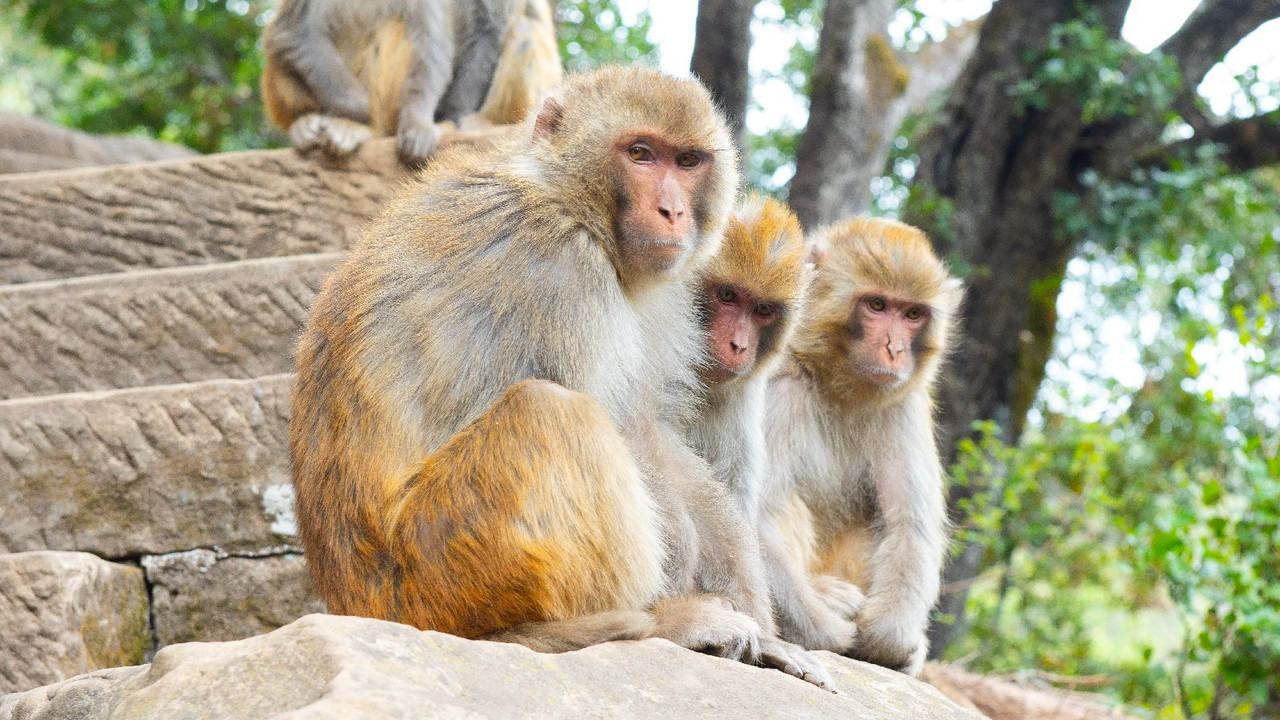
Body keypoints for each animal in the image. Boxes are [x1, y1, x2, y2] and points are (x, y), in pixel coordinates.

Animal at [288, 64, 829, 686]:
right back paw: (651, 623)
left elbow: (651, 434)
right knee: (551, 410)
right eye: (641, 154)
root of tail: (352, 600)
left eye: (688, 161)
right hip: (435, 571)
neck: (560, 194)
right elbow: (621, 425)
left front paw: (765, 627)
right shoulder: (558, 266)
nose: (673, 211)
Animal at [757, 215, 962, 676]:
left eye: (913, 314)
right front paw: (827, 634)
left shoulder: (903, 405)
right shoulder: (777, 386)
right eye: (877, 306)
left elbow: (908, 526)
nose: (894, 348)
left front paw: (888, 640)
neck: (837, 382)